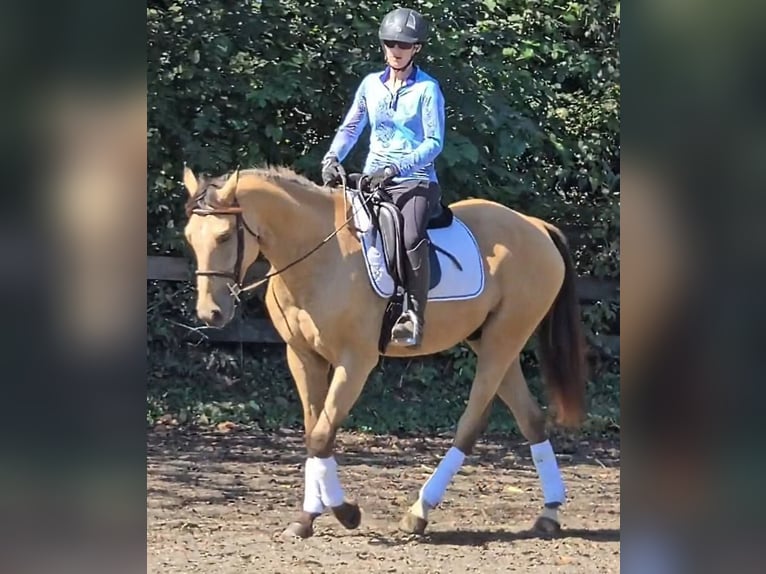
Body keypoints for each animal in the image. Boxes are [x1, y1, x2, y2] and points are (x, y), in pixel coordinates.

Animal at [181, 164, 588, 539]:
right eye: (189, 237)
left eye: (223, 236)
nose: (210, 313)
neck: (318, 257)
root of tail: (535, 226)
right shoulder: (302, 356)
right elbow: (313, 432)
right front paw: (307, 517)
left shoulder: (355, 362)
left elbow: (322, 434)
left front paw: (345, 512)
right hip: (491, 340)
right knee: (531, 418)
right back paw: (549, 512)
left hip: (503, 340)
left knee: (471, 423)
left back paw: (419, 512)